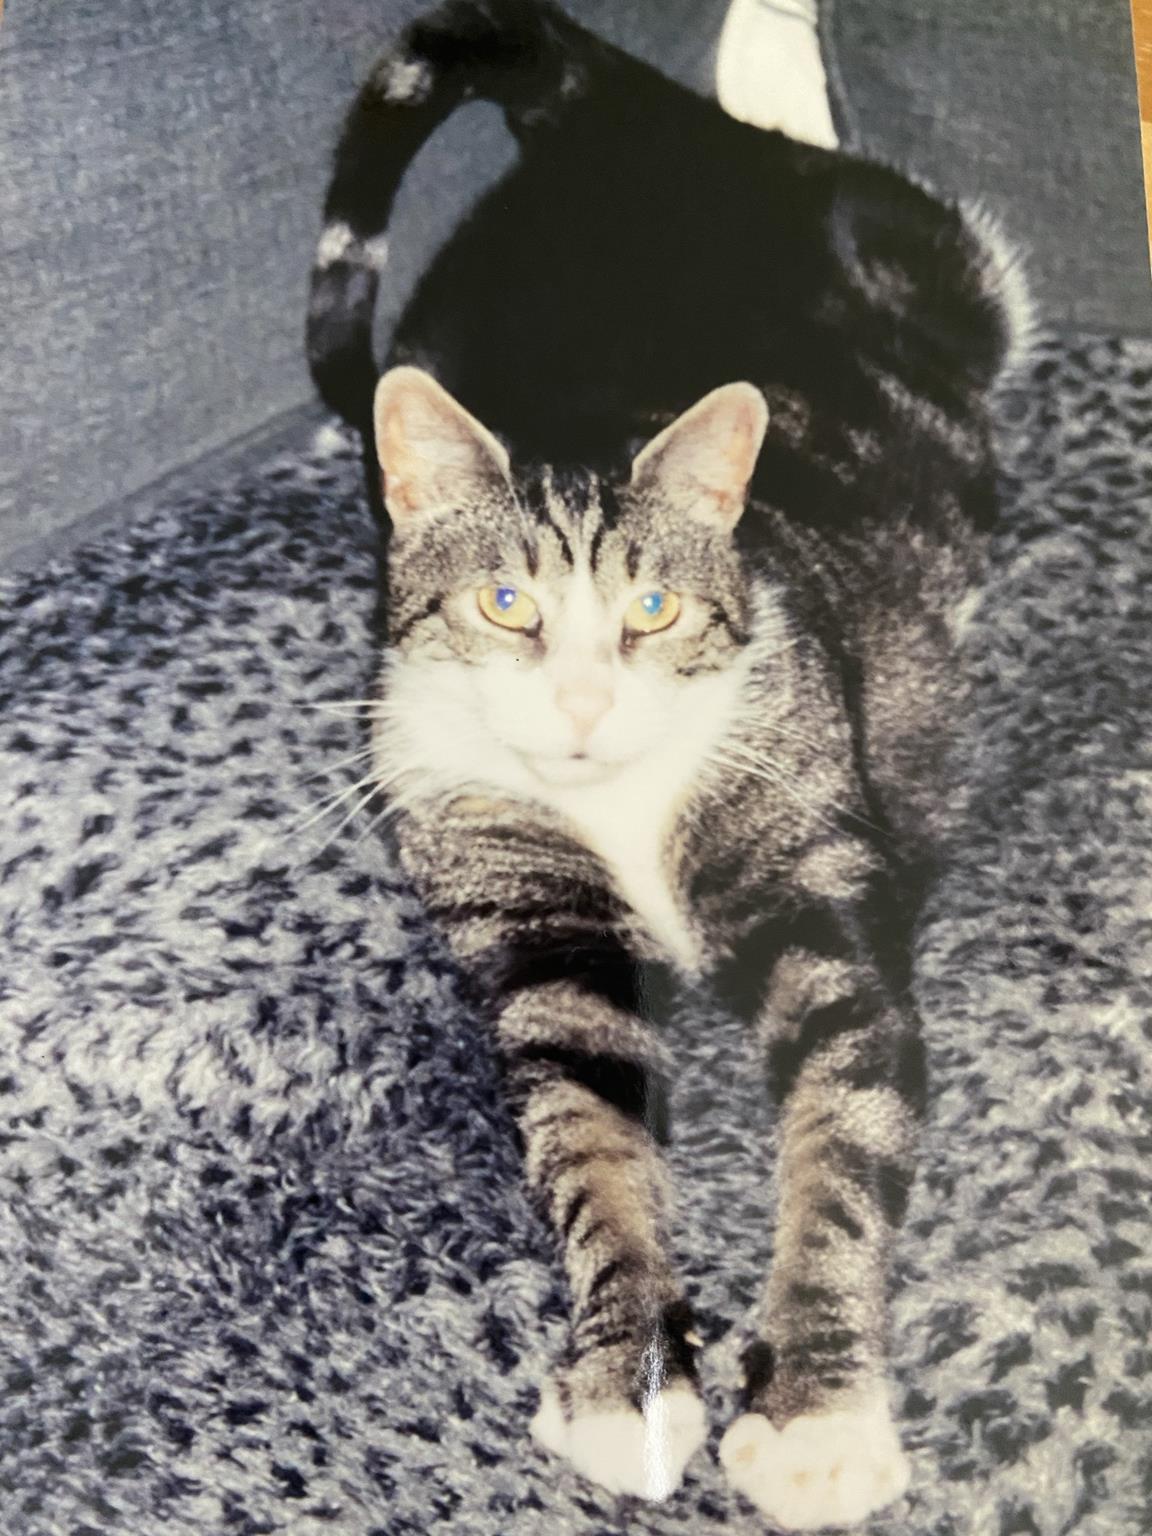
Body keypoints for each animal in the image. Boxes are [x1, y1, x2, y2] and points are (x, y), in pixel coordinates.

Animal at [307, 3, 1026, 1523]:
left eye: (652, 608)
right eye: (505, 605)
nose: (584, 702)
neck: (622, 809)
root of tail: (610, 119)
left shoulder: (819, 889)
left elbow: (838, 1143)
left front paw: (814, 1416)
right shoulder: (534, 927)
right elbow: (591, 1151)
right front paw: (625, 1377)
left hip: (951, 278)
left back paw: (770, 45)